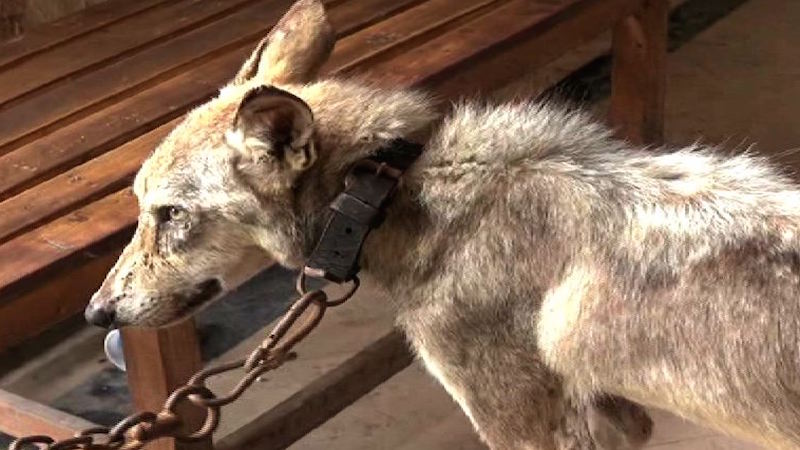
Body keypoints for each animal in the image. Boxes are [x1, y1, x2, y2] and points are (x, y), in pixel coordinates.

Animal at [84, 0, 800, 448]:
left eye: (169, 214)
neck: (391, 192)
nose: (96, 313)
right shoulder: (618, 418)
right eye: (140, 208)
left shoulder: (533, 430)